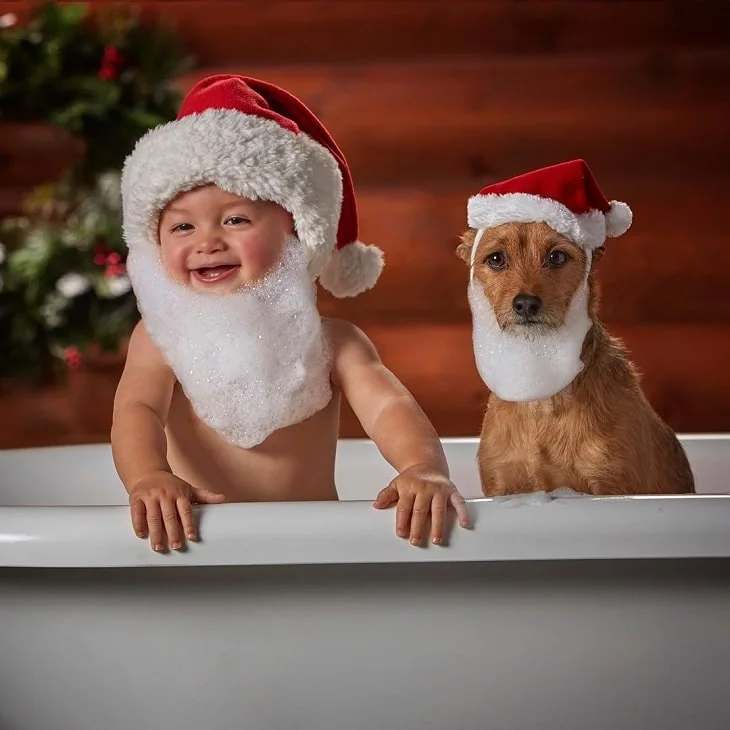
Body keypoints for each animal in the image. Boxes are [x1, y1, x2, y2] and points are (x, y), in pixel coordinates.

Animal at [458, 216, 692, 498]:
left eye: (557, 256)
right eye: (496, 259)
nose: (525, 304)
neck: (543, 399)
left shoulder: (609, 483)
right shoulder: (502, 482)